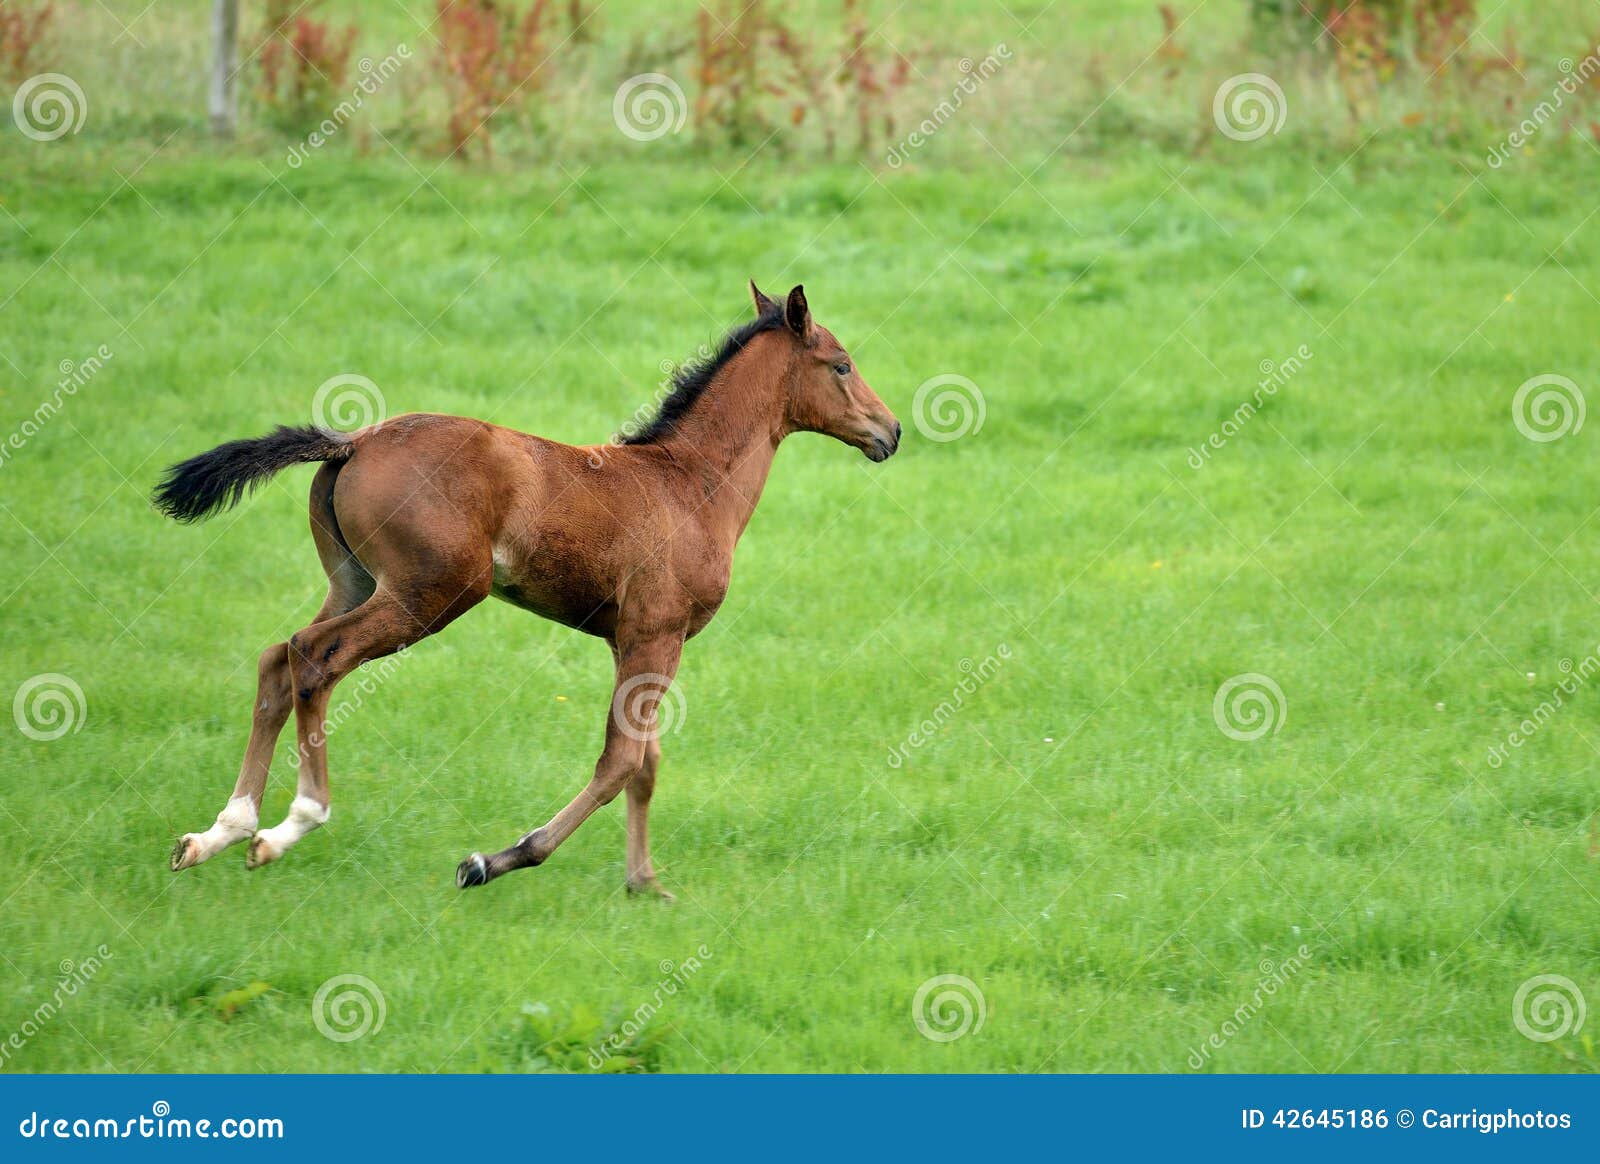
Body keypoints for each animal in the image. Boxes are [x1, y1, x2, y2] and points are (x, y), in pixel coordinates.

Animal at [154, 283, 901, 897]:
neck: (691, 483)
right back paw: (290, 825)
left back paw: (217, 834)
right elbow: (620, 761)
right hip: (428, 595)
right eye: (841, 364)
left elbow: (646, 763)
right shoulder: (657, 633)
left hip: (356, 581)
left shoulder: (634, 640)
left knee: (276, 660)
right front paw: (494, 860)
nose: (890, 431)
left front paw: (644, 883)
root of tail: (354, 441)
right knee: (315, 658)